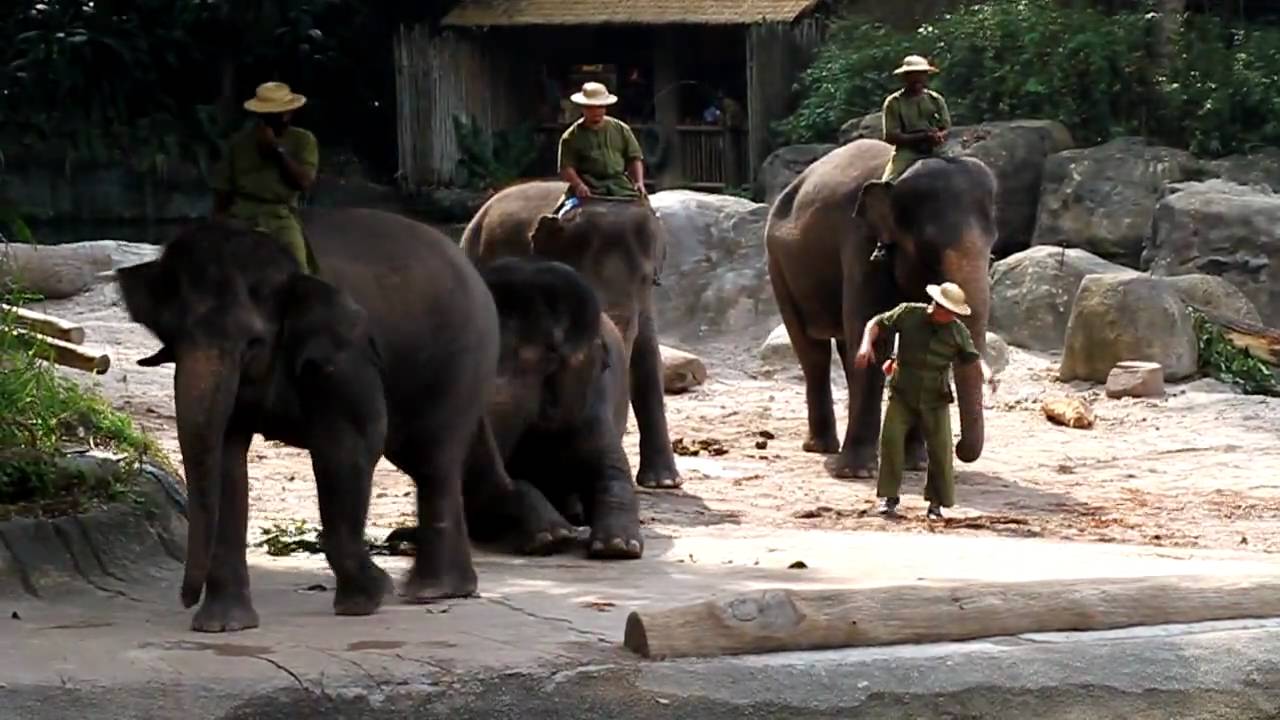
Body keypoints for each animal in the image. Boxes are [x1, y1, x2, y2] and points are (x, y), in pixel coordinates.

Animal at [114, 208, 532, 632]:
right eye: (172, 339)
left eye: (253, 343)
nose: (185, 599)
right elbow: (227, 458)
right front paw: (223, 626)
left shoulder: (347, 357)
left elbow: (349, 445)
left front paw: (368, 597)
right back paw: (448, 589)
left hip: (462, 359)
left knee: (433, 460)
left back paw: (430, 591)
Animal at [764, 138, 995, 479]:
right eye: (930, 248)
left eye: (993, 246)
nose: (959, 448)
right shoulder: (861, 246)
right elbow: (872, 329)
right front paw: (857, 473)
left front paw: (917, 464)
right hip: (779, 266)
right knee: (813, 353)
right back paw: (823, 448)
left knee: (846, 348)